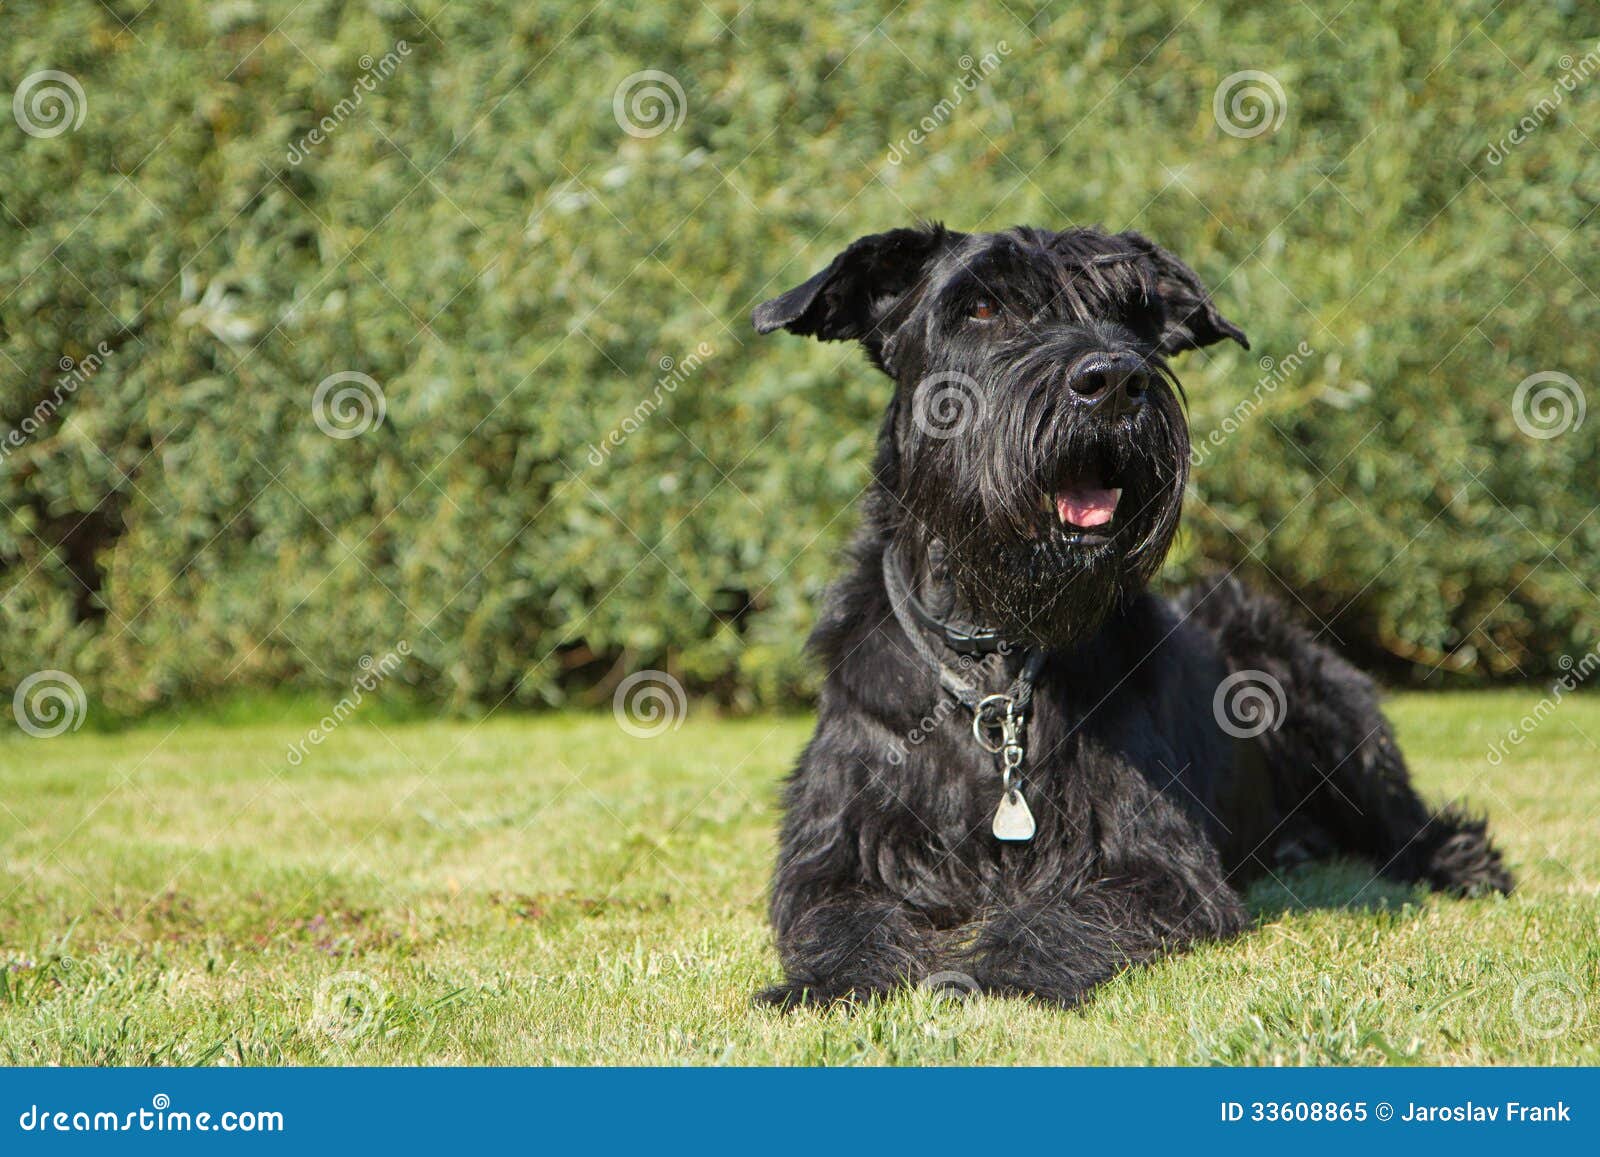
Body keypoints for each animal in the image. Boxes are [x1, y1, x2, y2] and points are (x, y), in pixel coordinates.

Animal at [748, 222, 1510, 1011]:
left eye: (1131, 312)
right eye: (983, 307)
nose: (1113, 381)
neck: (995, 655)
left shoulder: (1153, 860)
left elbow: (1060, 916)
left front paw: (990, 972)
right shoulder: (836, 849)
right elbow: (840, 915)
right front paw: (832, 981)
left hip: (1332, 711)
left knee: (1407, 820)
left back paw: (1460, 861)